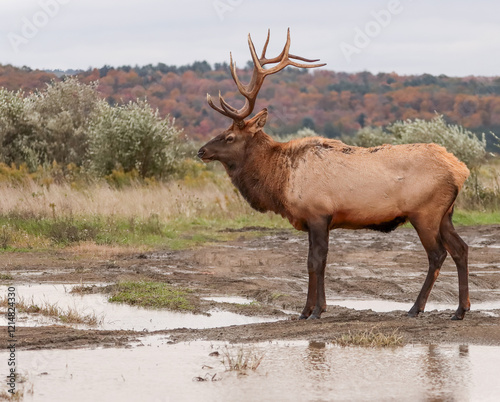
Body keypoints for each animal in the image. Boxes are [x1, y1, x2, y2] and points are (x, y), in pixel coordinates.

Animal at [197, 29, 470, 320]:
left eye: (229, 137)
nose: (201, 151)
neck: (280, 181)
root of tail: (460, 170)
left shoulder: (319, 213)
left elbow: (316, 261)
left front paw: (314, 310)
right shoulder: (314, 218)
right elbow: (316, 262)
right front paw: (311, 309)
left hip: (425, 212)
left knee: (437, 254)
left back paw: (416, 308)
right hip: (445, 213)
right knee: (461, 249)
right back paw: (460, 309)